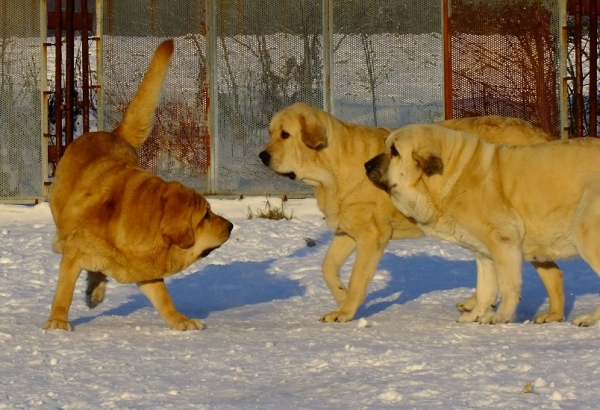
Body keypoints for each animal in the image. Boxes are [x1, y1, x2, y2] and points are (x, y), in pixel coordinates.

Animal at [44, 40, 232, 332]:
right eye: (205, 216)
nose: (231, 226)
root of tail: (112, 133)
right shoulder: (74, 255)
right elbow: (64, 292)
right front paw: (57, 322)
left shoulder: (147, 272)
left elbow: (164, 300)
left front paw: (181, 321)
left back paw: (96, 291)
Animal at [260, 104, 564, 326]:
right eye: (270, 132)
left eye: (285, 135)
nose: (262, 156)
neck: (331, 171)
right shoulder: (347, 231)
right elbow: (327, 267)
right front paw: (340, 295)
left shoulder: (372, 236)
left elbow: (358, 278)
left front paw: (345, 311)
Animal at [364, 123, 600, 326]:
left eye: (395, 152)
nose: (366, 165)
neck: (453, 177)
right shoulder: (484, 252)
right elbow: (485, 289)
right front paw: (476, 316)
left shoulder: (504, 240)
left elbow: (507, 285)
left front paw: (501, 316)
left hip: (585, 234)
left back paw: (589, 319)